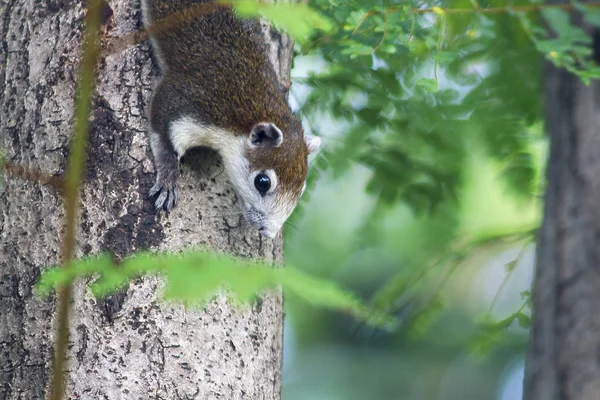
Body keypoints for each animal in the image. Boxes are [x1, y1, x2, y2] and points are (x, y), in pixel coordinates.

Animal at [141, 0, 322, 238]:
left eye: (300, 190)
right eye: (262, 182)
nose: (268, 233)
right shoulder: (189, 101)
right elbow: (162, 131)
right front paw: (168, 178)